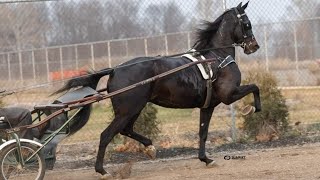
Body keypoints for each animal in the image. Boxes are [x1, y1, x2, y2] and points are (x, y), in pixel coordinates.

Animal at [55, 1, 260, 177]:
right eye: (247, 24)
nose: (254, 46)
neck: (216, 58)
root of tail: (115, 69)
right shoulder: (228, 95)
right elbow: (255, 87)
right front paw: (252, 108)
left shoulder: (208, 105)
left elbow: (203, 132)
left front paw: (206, 159)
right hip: (129, 109)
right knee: (106, 135)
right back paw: (102, 171)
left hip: (135, 108)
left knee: (126, 130)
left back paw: (150, 147)